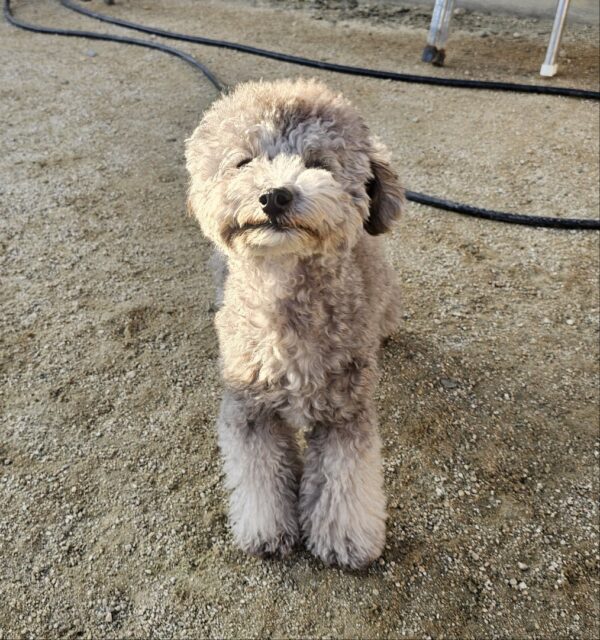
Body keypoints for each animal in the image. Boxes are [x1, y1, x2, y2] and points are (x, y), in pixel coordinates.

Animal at [185, 78, 404, 569]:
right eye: (244, 161)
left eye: (318, 163)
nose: (274, 195)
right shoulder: (250, 410)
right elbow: (260, 475)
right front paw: (267, 531)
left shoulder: (345, 412)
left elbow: (345, 479)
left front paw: (346, 540)